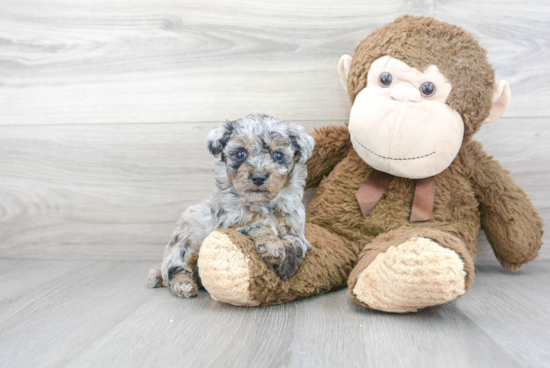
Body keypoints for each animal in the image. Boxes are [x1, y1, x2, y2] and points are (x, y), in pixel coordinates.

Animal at [148, 113, 314, 298]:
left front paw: (288, 265)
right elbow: (258, 226)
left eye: (278, 155)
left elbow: (296, 242)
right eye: (240, 153)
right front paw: (273, 247)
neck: (262, 203)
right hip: (182, 245)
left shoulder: (296, 227)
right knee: (174, 270)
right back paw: (184, 284)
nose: (258, 177)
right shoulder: (231, 226)